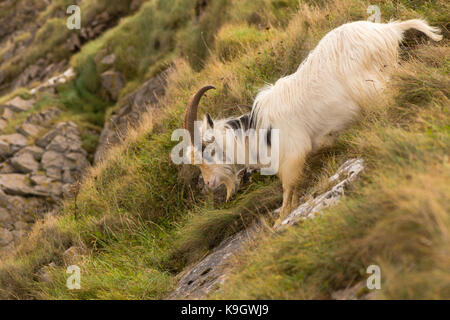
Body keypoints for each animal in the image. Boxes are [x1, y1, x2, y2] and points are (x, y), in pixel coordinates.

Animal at [181, 19, 442, 225]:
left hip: (375, 87)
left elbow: (288, 191)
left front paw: (280, 221)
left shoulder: (292, 157)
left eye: (208, 151)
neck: (258, 132)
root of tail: (387, 30)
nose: (209, 183)